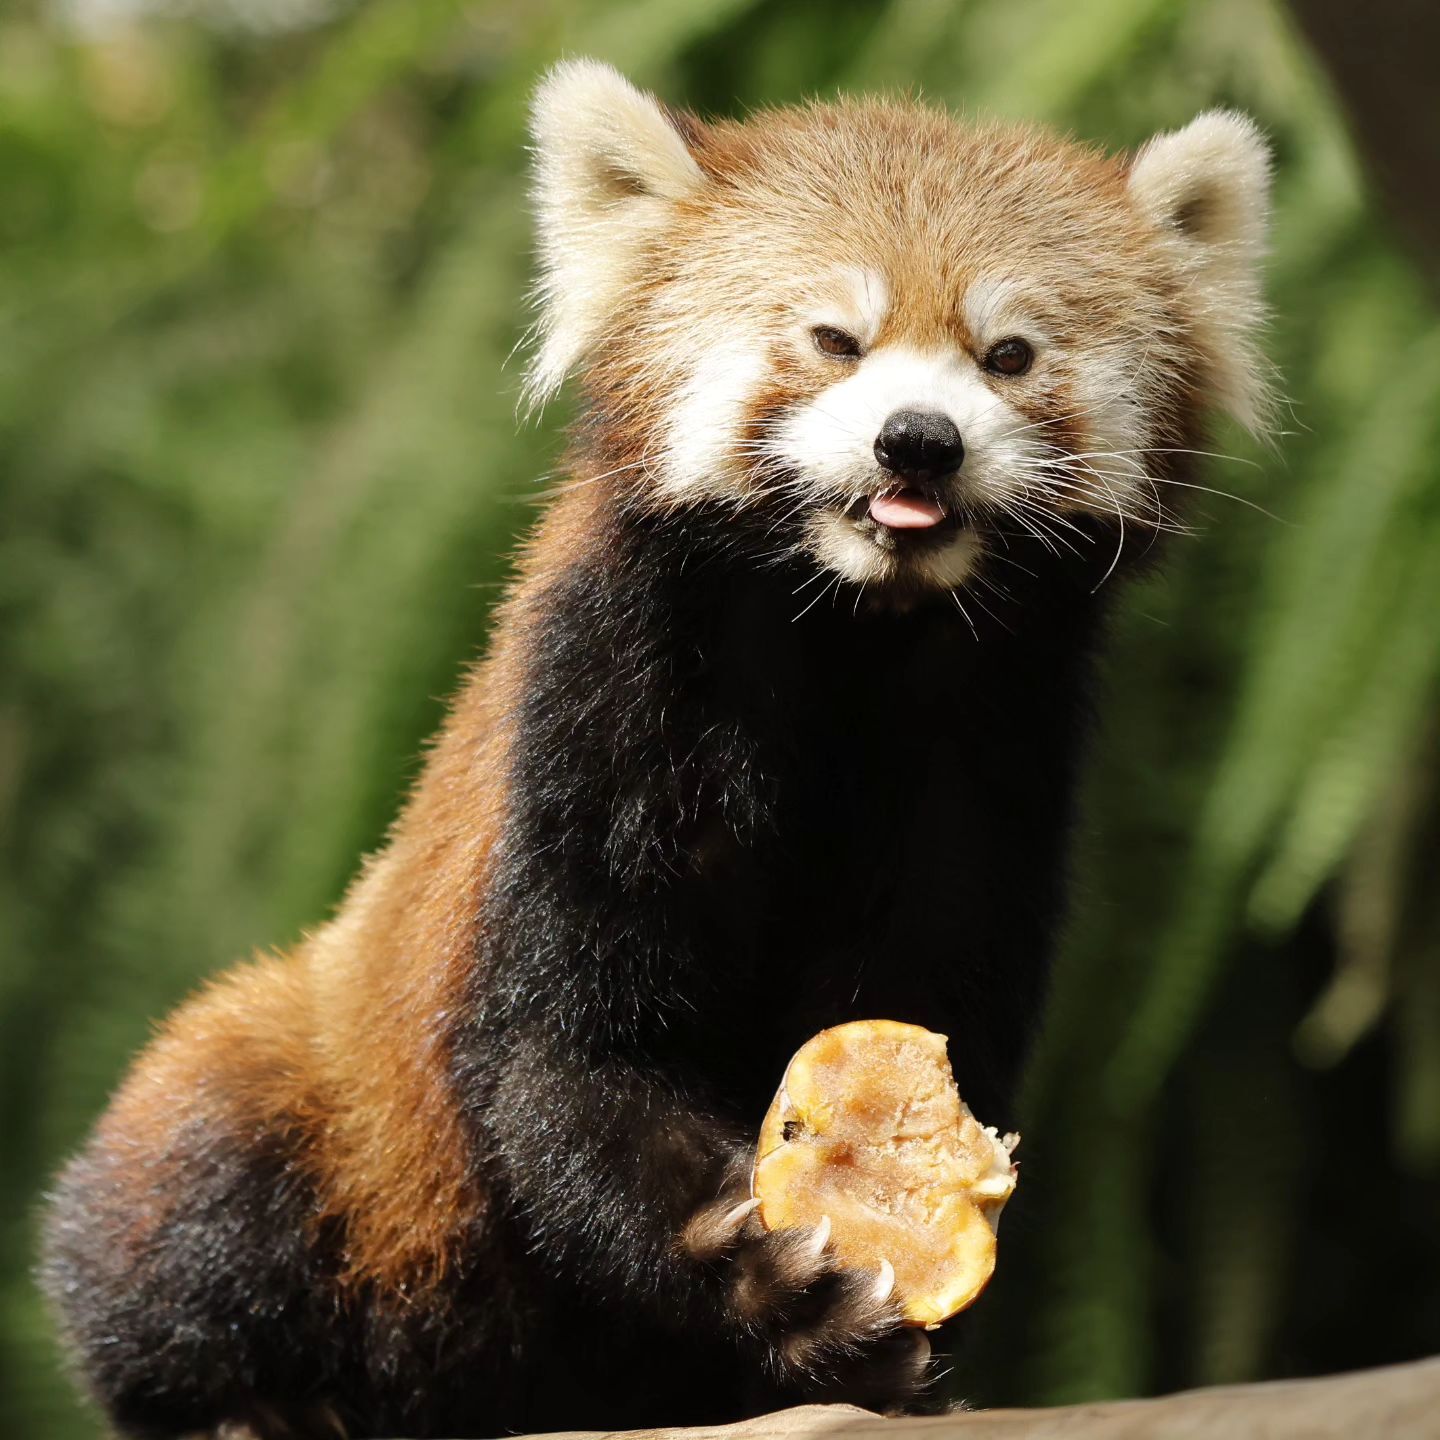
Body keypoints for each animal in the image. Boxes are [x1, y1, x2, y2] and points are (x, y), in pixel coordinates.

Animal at [39, 59, 1267, 1440]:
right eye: (833, 339)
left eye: (1009, 355)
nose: (918, 438)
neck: (855, 640)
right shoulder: (607, 702)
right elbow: (562, 1052)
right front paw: (770, 1278)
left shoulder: (992, 752)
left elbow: (932, 997)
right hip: (287, 1101)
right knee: (193, 1221)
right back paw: (255, 1406)